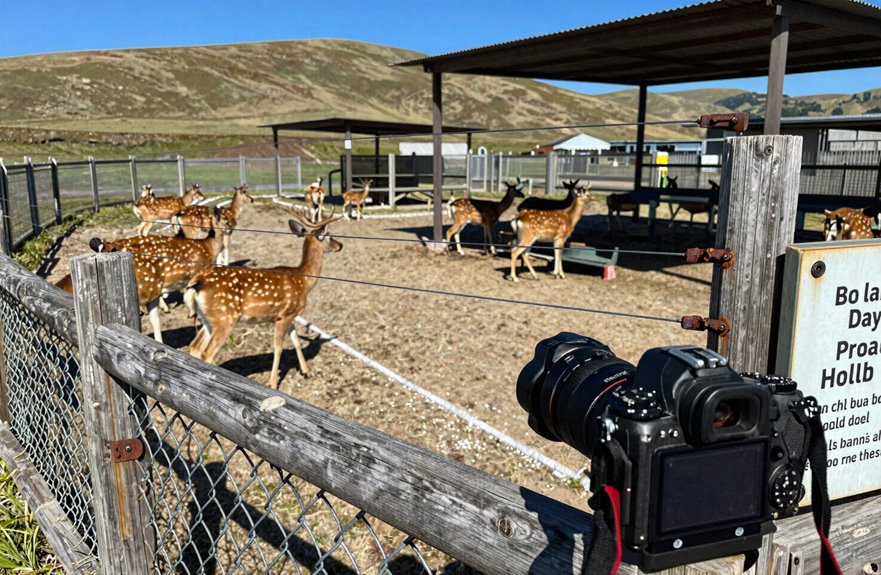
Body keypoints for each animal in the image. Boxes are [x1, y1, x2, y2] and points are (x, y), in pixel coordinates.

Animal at [184, 209, 343, 388]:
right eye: (329, 235)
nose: (340, 245)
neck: (304, 281)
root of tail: (198, 284)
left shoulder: (285, 315)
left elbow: (296, 340)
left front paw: (306, 371)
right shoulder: (286, 314)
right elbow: (278, 347)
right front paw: (272, 383)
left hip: (207, 319)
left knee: (195, 346)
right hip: (225, 318)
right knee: (208, 353)